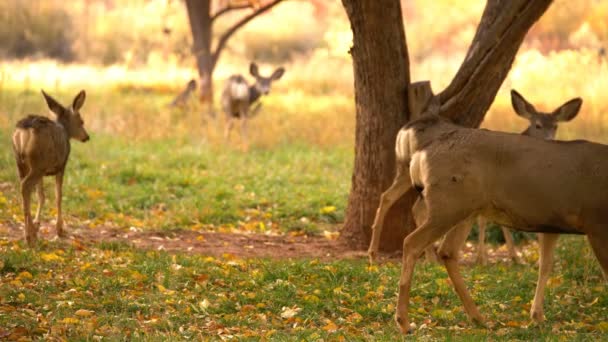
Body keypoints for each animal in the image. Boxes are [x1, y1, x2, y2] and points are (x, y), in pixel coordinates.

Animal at [12, 90, 89, 246]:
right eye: (81, 121)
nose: (86, 137)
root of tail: (23, 132)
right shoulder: (61, 166)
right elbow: (58, 196)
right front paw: (59, 229)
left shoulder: (42, 173)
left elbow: (41, 196)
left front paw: (37, 224)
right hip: (37, 164)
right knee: (25, 186)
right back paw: (29, 236)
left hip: (22, 163)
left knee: (25, 188)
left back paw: (29, 232)